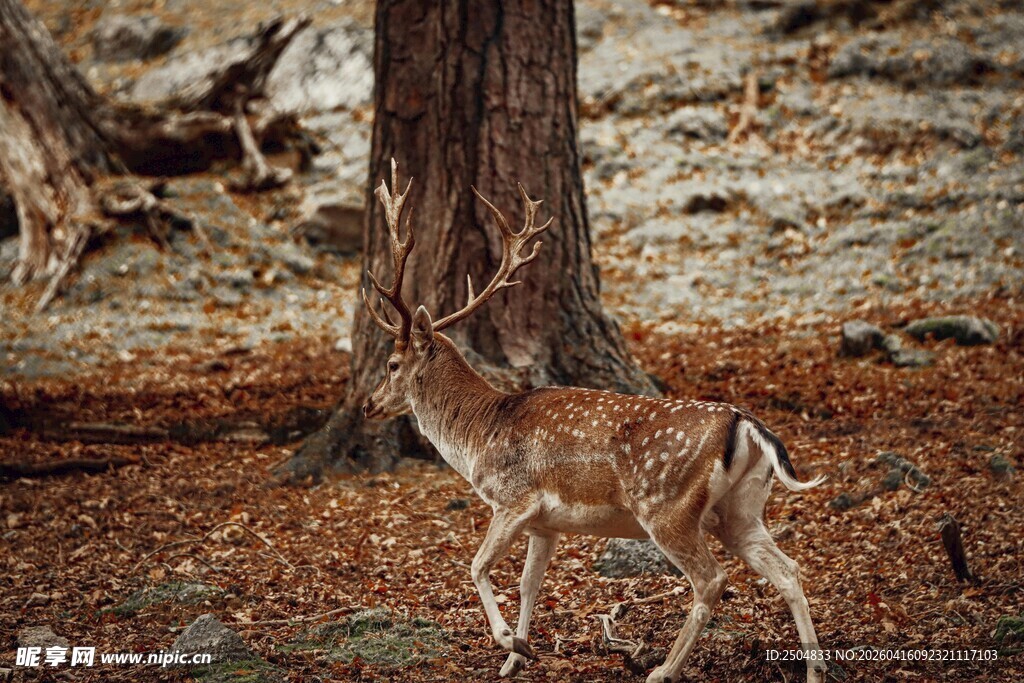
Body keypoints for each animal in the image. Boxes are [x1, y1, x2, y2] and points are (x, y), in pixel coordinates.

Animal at [360, 160, 828, 683]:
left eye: (391, 365)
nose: (369, 406)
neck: (480, 434)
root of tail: (747, 425)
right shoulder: (546, 524)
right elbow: (529, 585)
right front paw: (516, 657)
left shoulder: (513, 498)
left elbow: (478, 567)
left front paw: (508, 641)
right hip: (741, 509)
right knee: (788, 570)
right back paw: (814, 670)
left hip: (667, 505)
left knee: (711, 579)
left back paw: (663, 670)